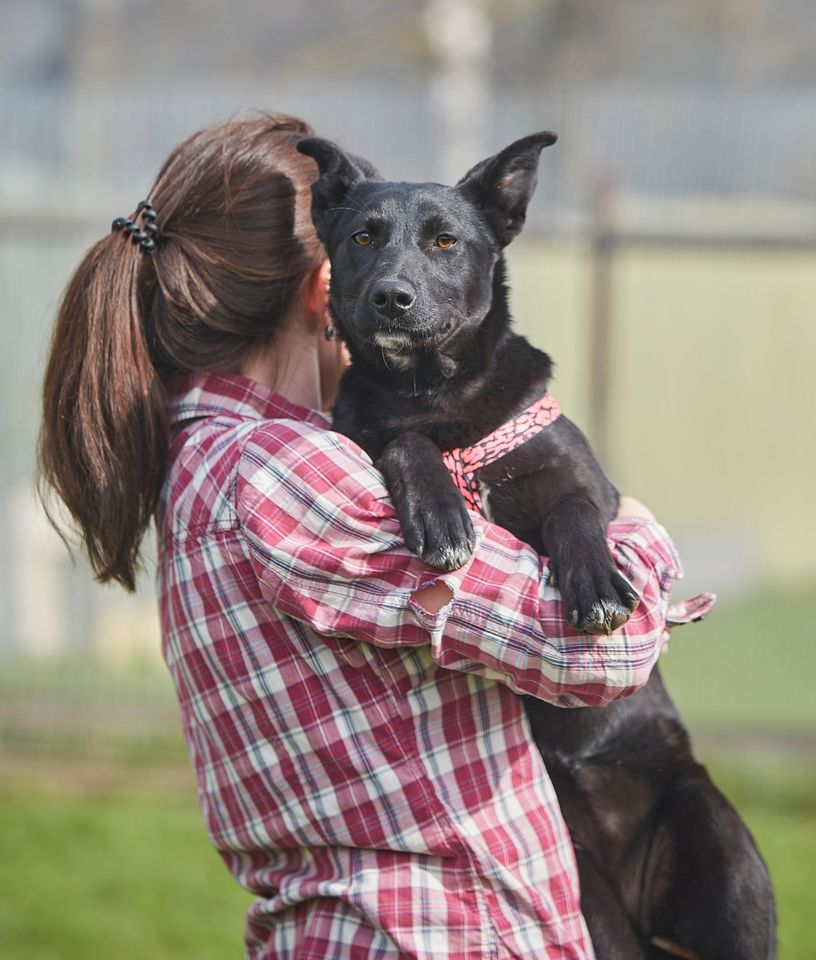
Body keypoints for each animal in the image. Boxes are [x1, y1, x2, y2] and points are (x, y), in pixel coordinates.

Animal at [300, 131, 776, 956]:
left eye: (445, 241)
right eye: (363, 237)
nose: (392, 295)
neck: (436, 396)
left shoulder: (589, 489)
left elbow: (573, 512)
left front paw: (598, 585)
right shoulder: (374, 434)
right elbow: (401, 445)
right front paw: (440, 513)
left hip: (718, 849)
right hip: (589, 898)